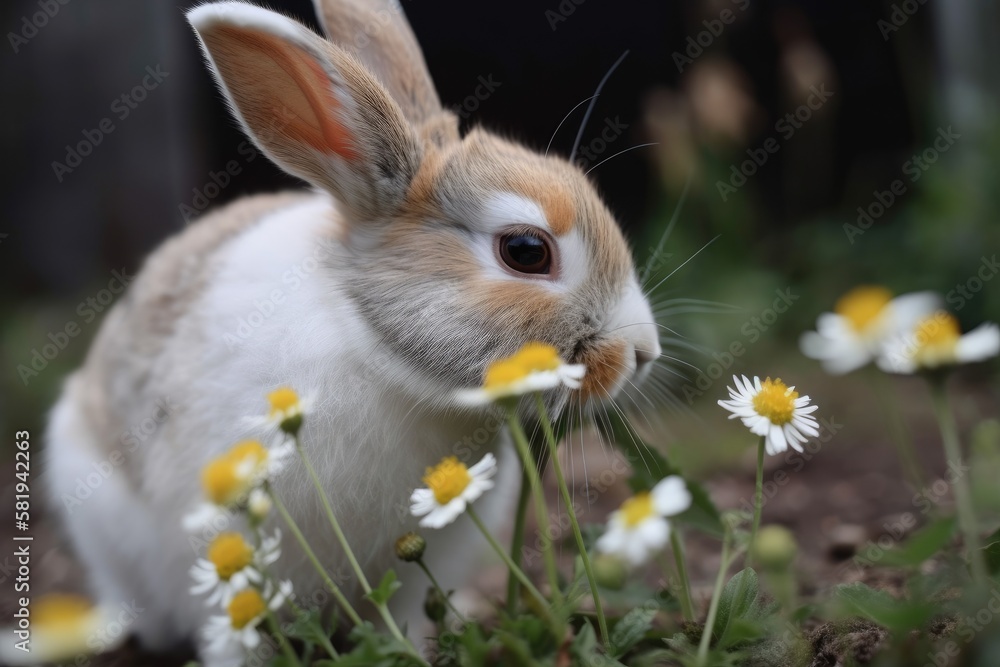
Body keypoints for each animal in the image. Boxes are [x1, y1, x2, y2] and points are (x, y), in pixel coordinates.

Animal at [43, 2, 660, 664]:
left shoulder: (419, 563)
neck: (384, 356)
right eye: (526, 250)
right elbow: (232, 625)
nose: (643, 353)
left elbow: (406, 614)